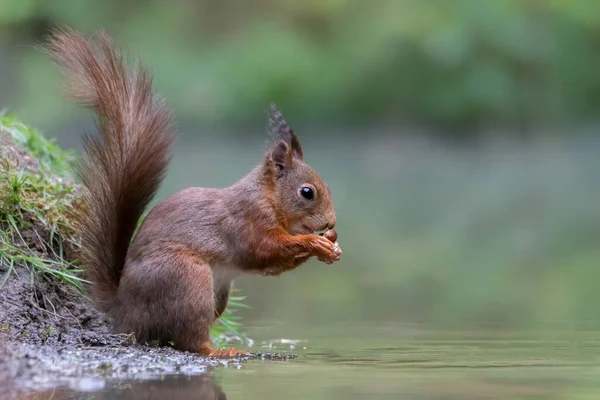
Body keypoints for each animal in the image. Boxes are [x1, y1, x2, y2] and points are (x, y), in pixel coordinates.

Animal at [44, 28, 340, 358]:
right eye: (307, 192)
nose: (331, 222)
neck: (268, 197)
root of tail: (123, 309)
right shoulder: (247, 221)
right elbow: (263, 250)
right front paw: (315, 242)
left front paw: (331, 247)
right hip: (187, 280)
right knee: (190, 341)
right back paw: (222, 351)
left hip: (217, 293)